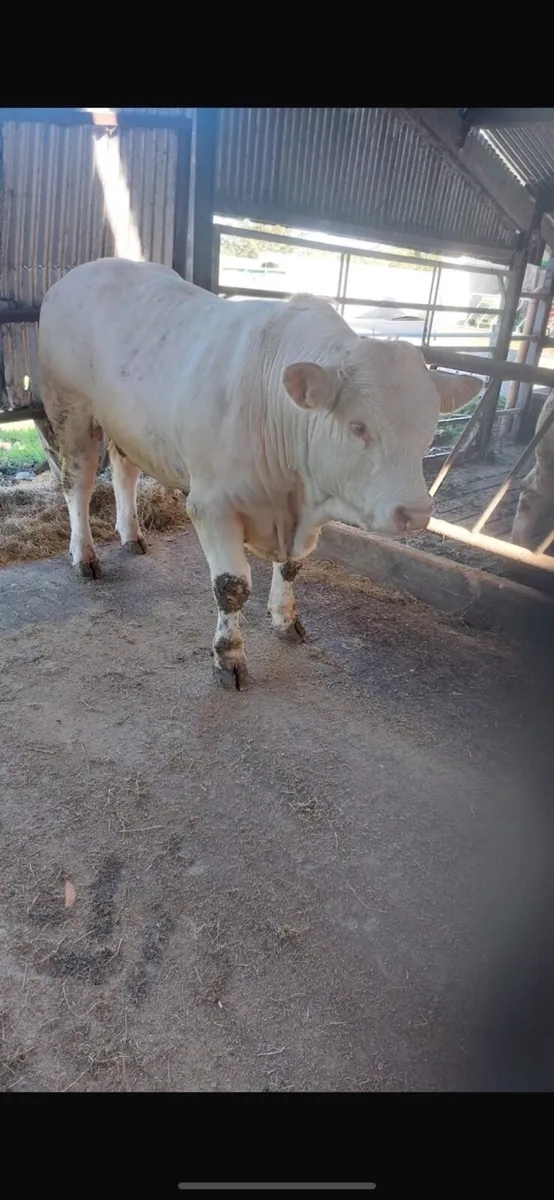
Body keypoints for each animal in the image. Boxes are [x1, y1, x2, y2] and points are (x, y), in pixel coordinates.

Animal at [38, 257, 480, 690]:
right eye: (358, 426)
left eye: (430, 427)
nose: (416, 513)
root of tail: (81, 272)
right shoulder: (211, 506)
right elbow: (232, 586)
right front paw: (228, 657)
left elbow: (291, 567)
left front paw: (286, 619)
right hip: (70, 410)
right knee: (77, 483)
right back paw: (84, 555)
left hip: (125, 425)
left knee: (125, 471)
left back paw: (131, 534)